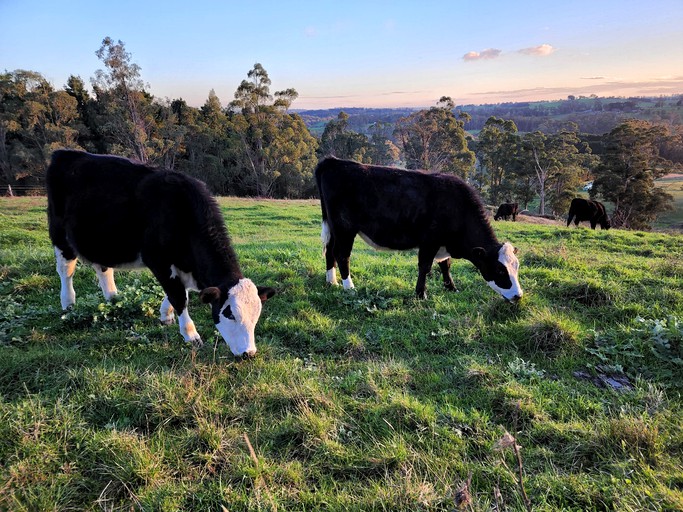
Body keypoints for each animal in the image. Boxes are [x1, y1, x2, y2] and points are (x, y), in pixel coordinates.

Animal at [46, 148, 278, 356]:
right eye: (230, 314)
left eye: (256, 316)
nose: (249, 353)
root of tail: (64, 153)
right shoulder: (157, 260)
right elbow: (179, 296)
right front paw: (191, 335)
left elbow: (178, 292)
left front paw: (165, 315)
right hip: (59, 234)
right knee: (65, 270)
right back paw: (68, 304)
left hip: (103, 240)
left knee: (103, 268)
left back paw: (113, 298)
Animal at [316, 156, 524, 300]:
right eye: (499, 270)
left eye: (517, 267)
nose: (518, 296)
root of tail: (333, 161)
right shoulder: (429, 242)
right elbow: (425, 266)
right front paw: (420, 294)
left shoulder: (442, 244)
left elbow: (445, 265)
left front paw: (451, 287)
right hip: (345, 228)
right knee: (342, 255)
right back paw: (349, 287)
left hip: (334, 228)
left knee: (330, 251)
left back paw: (331, 281)